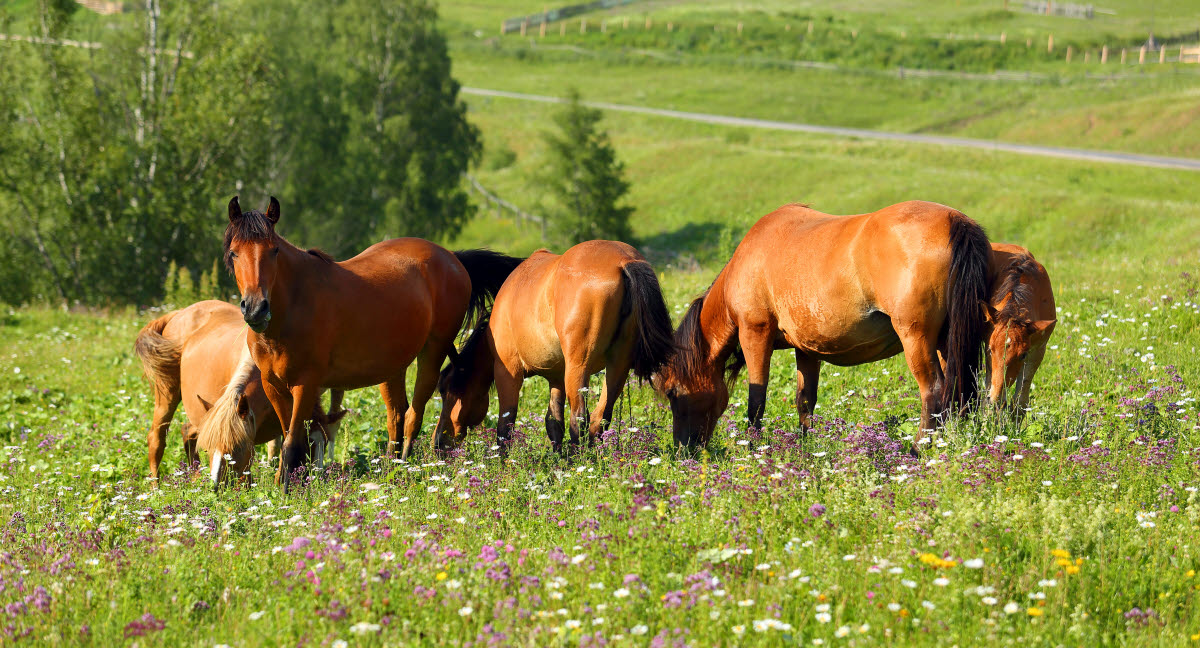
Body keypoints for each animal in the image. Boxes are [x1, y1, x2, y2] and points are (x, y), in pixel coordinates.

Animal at [133, 301, 345, 482]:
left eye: (325, 443)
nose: (314, 478)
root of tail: (179, 313)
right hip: (167, 393)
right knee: (157, 438)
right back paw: (155, 487)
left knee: (188, 432)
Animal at [432, 240, 676, 453]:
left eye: (445, 390)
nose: (438, 442)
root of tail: (624, 261)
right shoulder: (556, 378)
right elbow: (554, 423)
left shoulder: (507, 371)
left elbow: (505, 425)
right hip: (617, 366)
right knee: (601, 418)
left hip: (578, 368)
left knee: (580, 418)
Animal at [652, 200, 988, 448]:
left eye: (672, 392)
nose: (683, 450)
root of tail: (956, 221)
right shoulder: (807, 349)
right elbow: (805, 401)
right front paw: (806, 448)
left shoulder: (755, 335)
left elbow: (756, 400)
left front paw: (753, 449)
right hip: (947, 342)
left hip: (916, 338)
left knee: (933, 391)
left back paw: (919, 448)